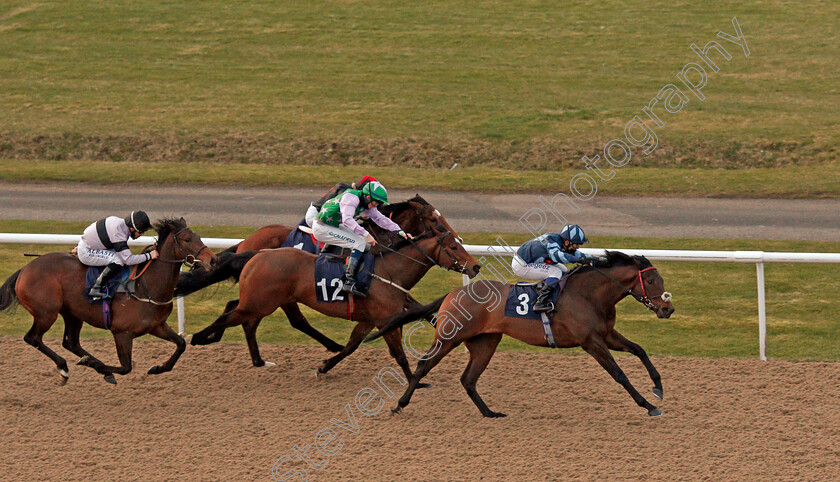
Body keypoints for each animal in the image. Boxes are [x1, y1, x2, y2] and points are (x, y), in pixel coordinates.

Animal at [0, 218, 220, 384]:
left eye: (199, 236)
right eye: (186, 239)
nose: (213, 260)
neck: (147, 286)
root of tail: (25, 269)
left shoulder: (156, 326)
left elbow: (181, 344)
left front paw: (158, 367)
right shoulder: (121, 332)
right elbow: (126, 367)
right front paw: (94, 365)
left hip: (72, 313)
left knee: (71, 342)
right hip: (47, 313)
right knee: (33, 338)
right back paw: (65, 368)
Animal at [189, 202, 480, 376]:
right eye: (451, 245)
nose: (476, 266)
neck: (387, 267)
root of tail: (254, 251)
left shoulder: (373, 318)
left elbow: (354, 344)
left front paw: (326, 367)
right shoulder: (385, 317)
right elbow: (398, 349)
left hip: (265, 300)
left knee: (242, 315)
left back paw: (255, 357)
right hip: (264, 300)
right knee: (244, 316)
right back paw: (200, 337)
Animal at [368, 252, 676, 418]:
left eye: (661, 279)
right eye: (650, 280)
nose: (668, 308)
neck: (589, 294)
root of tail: (453, 294)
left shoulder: (607, 334)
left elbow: (639, 350)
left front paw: (658, 387)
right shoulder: (591, 342)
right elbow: (619, 374)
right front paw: (648, 405)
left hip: (485, 343)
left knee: (468, 379)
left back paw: (489, 413)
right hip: (448, 338)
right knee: (423, 365)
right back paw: (399, 405)